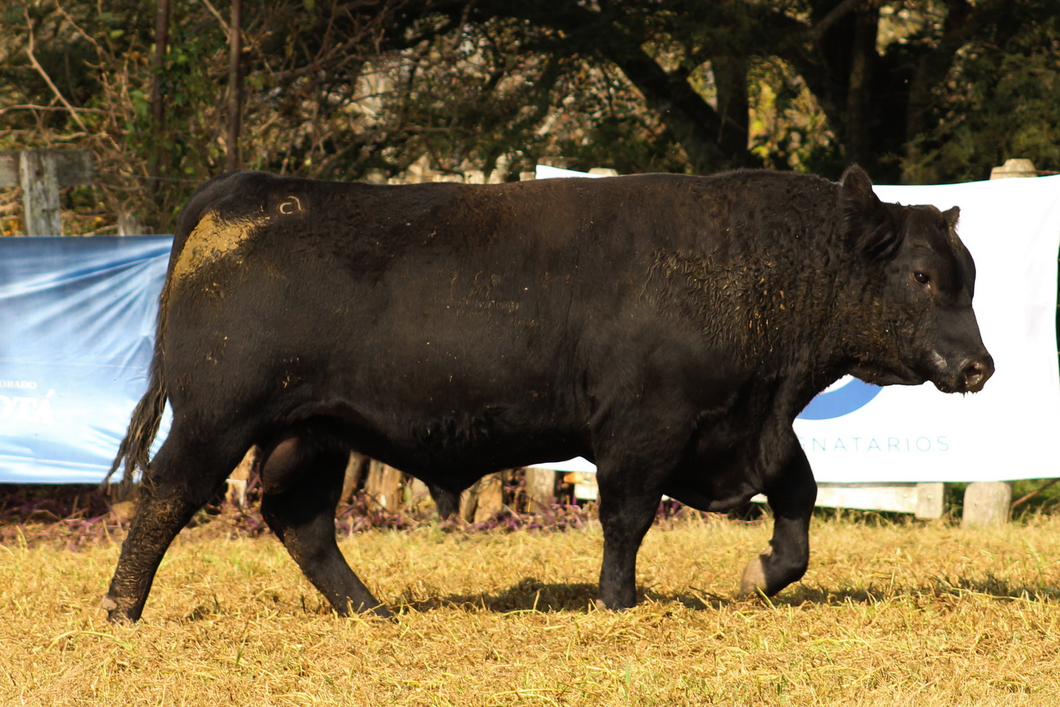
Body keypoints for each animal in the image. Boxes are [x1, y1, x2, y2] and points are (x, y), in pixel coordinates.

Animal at [103, 164, 987, 619]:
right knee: (166, 493)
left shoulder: (741, 426)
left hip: (311, 430)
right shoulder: (644, 426)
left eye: (967, 277)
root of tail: (244, 192)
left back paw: (369, 607)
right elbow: (627, 517)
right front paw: (618, 601)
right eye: (921, 274)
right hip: (217, 418)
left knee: (301, 520)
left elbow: (799, 494)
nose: (980, 366)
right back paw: (122, 606)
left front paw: (763, 572)